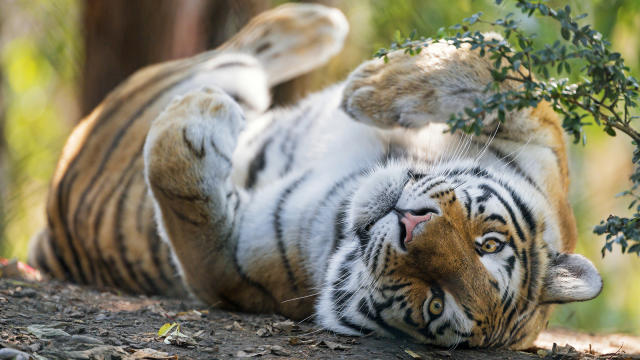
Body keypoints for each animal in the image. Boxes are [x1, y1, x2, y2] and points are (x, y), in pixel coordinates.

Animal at [27, 2, 604, 348]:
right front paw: (370, 88)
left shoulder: (229, 266)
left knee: (235, 64)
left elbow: (180, 190)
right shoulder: (548, 157)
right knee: (238, 52)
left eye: (436, 302)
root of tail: (50, 232)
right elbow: (503, 73)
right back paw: (321, 22)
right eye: (489, 243)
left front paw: (198, 121)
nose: (410, 225)